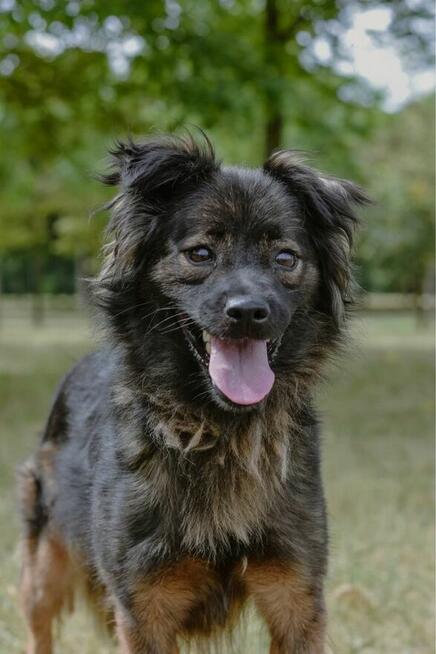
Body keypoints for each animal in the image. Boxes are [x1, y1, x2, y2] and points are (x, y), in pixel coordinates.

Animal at [18, 133, 369, 654]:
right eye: (200, 253)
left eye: (285, 259)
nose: (248, 312)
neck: (219, 428)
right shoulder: (144, 606)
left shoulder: (297, 594)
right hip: (44, 565)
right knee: (38, 628)